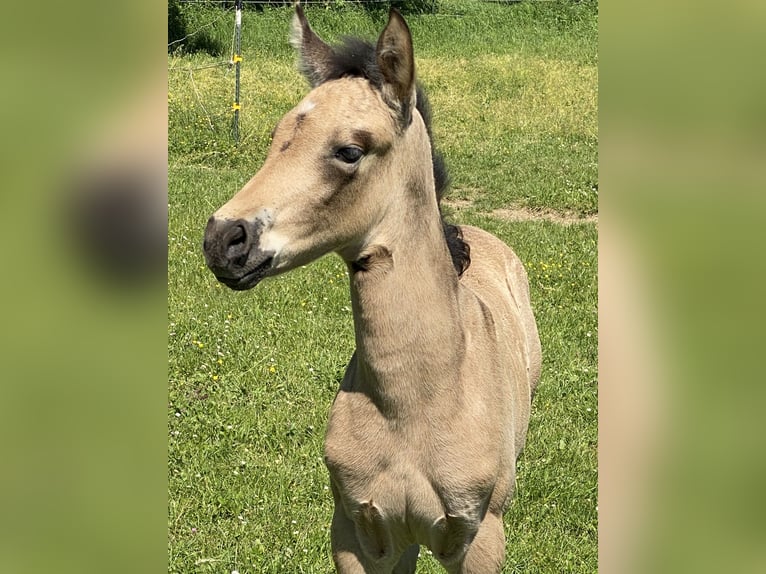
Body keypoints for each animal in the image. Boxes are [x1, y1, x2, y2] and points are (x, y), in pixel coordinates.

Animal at [201, 5, 544, 574]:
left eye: (349, 150)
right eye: (277, 138)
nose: (223, 239)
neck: (415, 403)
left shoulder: (479, 540)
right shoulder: (361, 532)